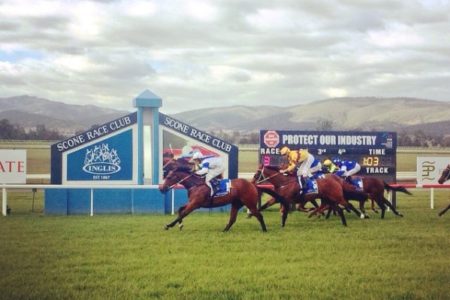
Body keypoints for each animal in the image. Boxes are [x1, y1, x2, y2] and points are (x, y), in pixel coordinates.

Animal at [158, 166, 286, 232]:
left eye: (169, 177)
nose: (162, 188)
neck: (195, 184)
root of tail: (253, 185)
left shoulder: (195, 204)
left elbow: (183, 213)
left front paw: (168, 225)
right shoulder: (193, 203)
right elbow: (180, 210)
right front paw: (180, 225)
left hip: (250, 203)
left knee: (259, 215)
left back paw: (264, 230)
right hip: (236, 203)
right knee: (232, 219)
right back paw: (224, 230)